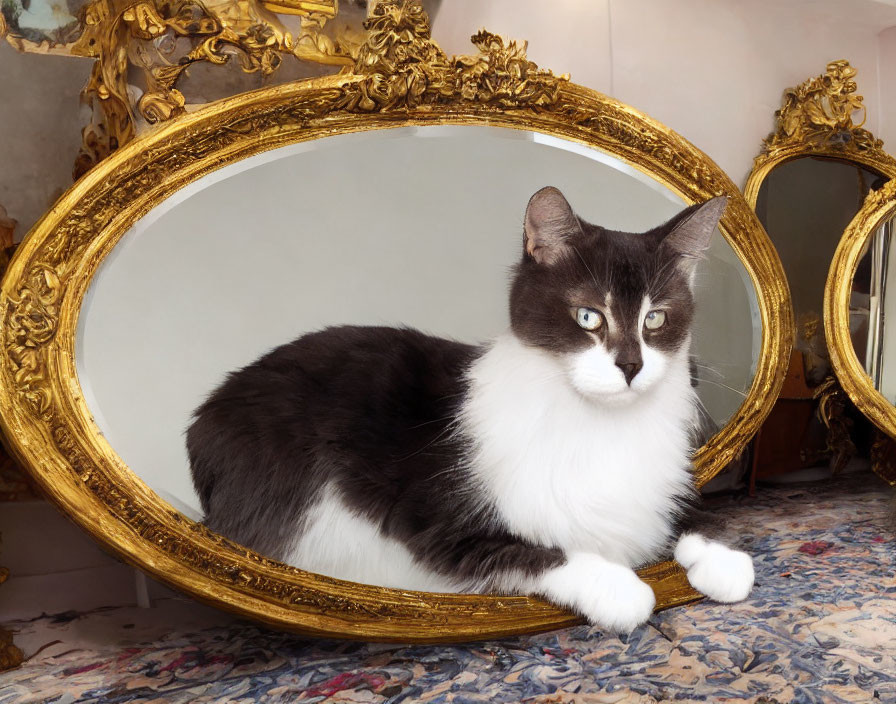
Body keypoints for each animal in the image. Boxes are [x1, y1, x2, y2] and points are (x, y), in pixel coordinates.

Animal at [189, 187, 756, 632]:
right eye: (588, 316)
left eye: (656, 318)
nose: (632, 367)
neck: (594, 418)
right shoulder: (437, 516)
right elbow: (528, 550)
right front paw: (619, 588)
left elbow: (681, 517)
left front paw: (722, 560)